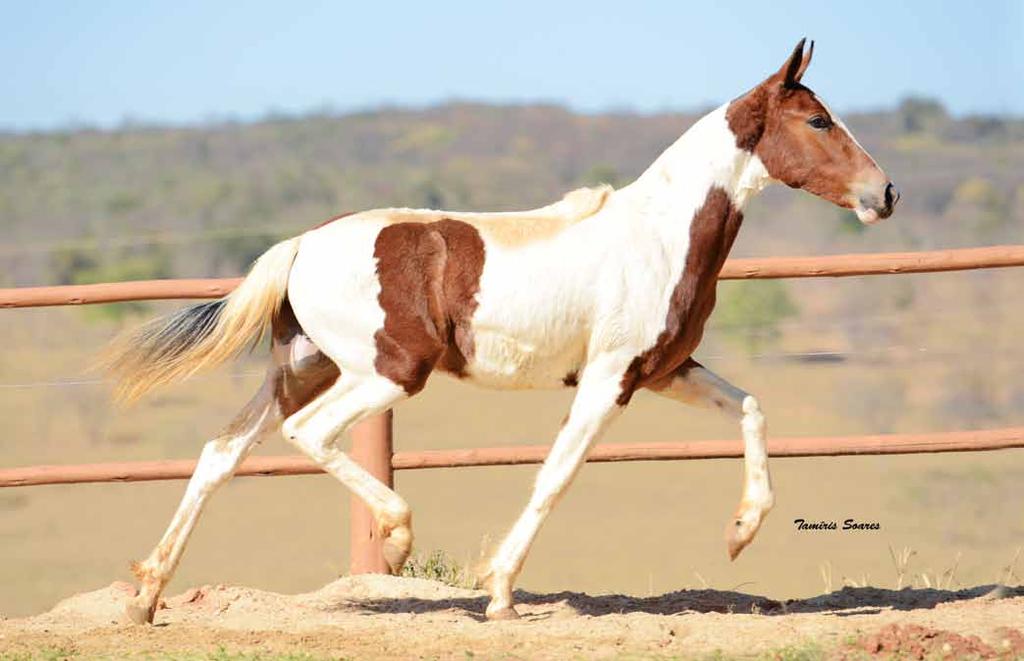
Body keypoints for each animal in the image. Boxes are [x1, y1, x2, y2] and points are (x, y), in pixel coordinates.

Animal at [103, 38, 897, 626]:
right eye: (819, 121)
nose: (885, 193)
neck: (657, 236)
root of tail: (301, 243)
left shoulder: (666, 370)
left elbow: (752, 408)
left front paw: (740, 532)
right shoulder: (610, 379)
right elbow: (555, 474)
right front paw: (501, 592)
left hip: (304, 368)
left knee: (221, 452)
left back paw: (146, 597)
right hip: (385, 372)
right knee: (309, 435)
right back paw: (396, 536)